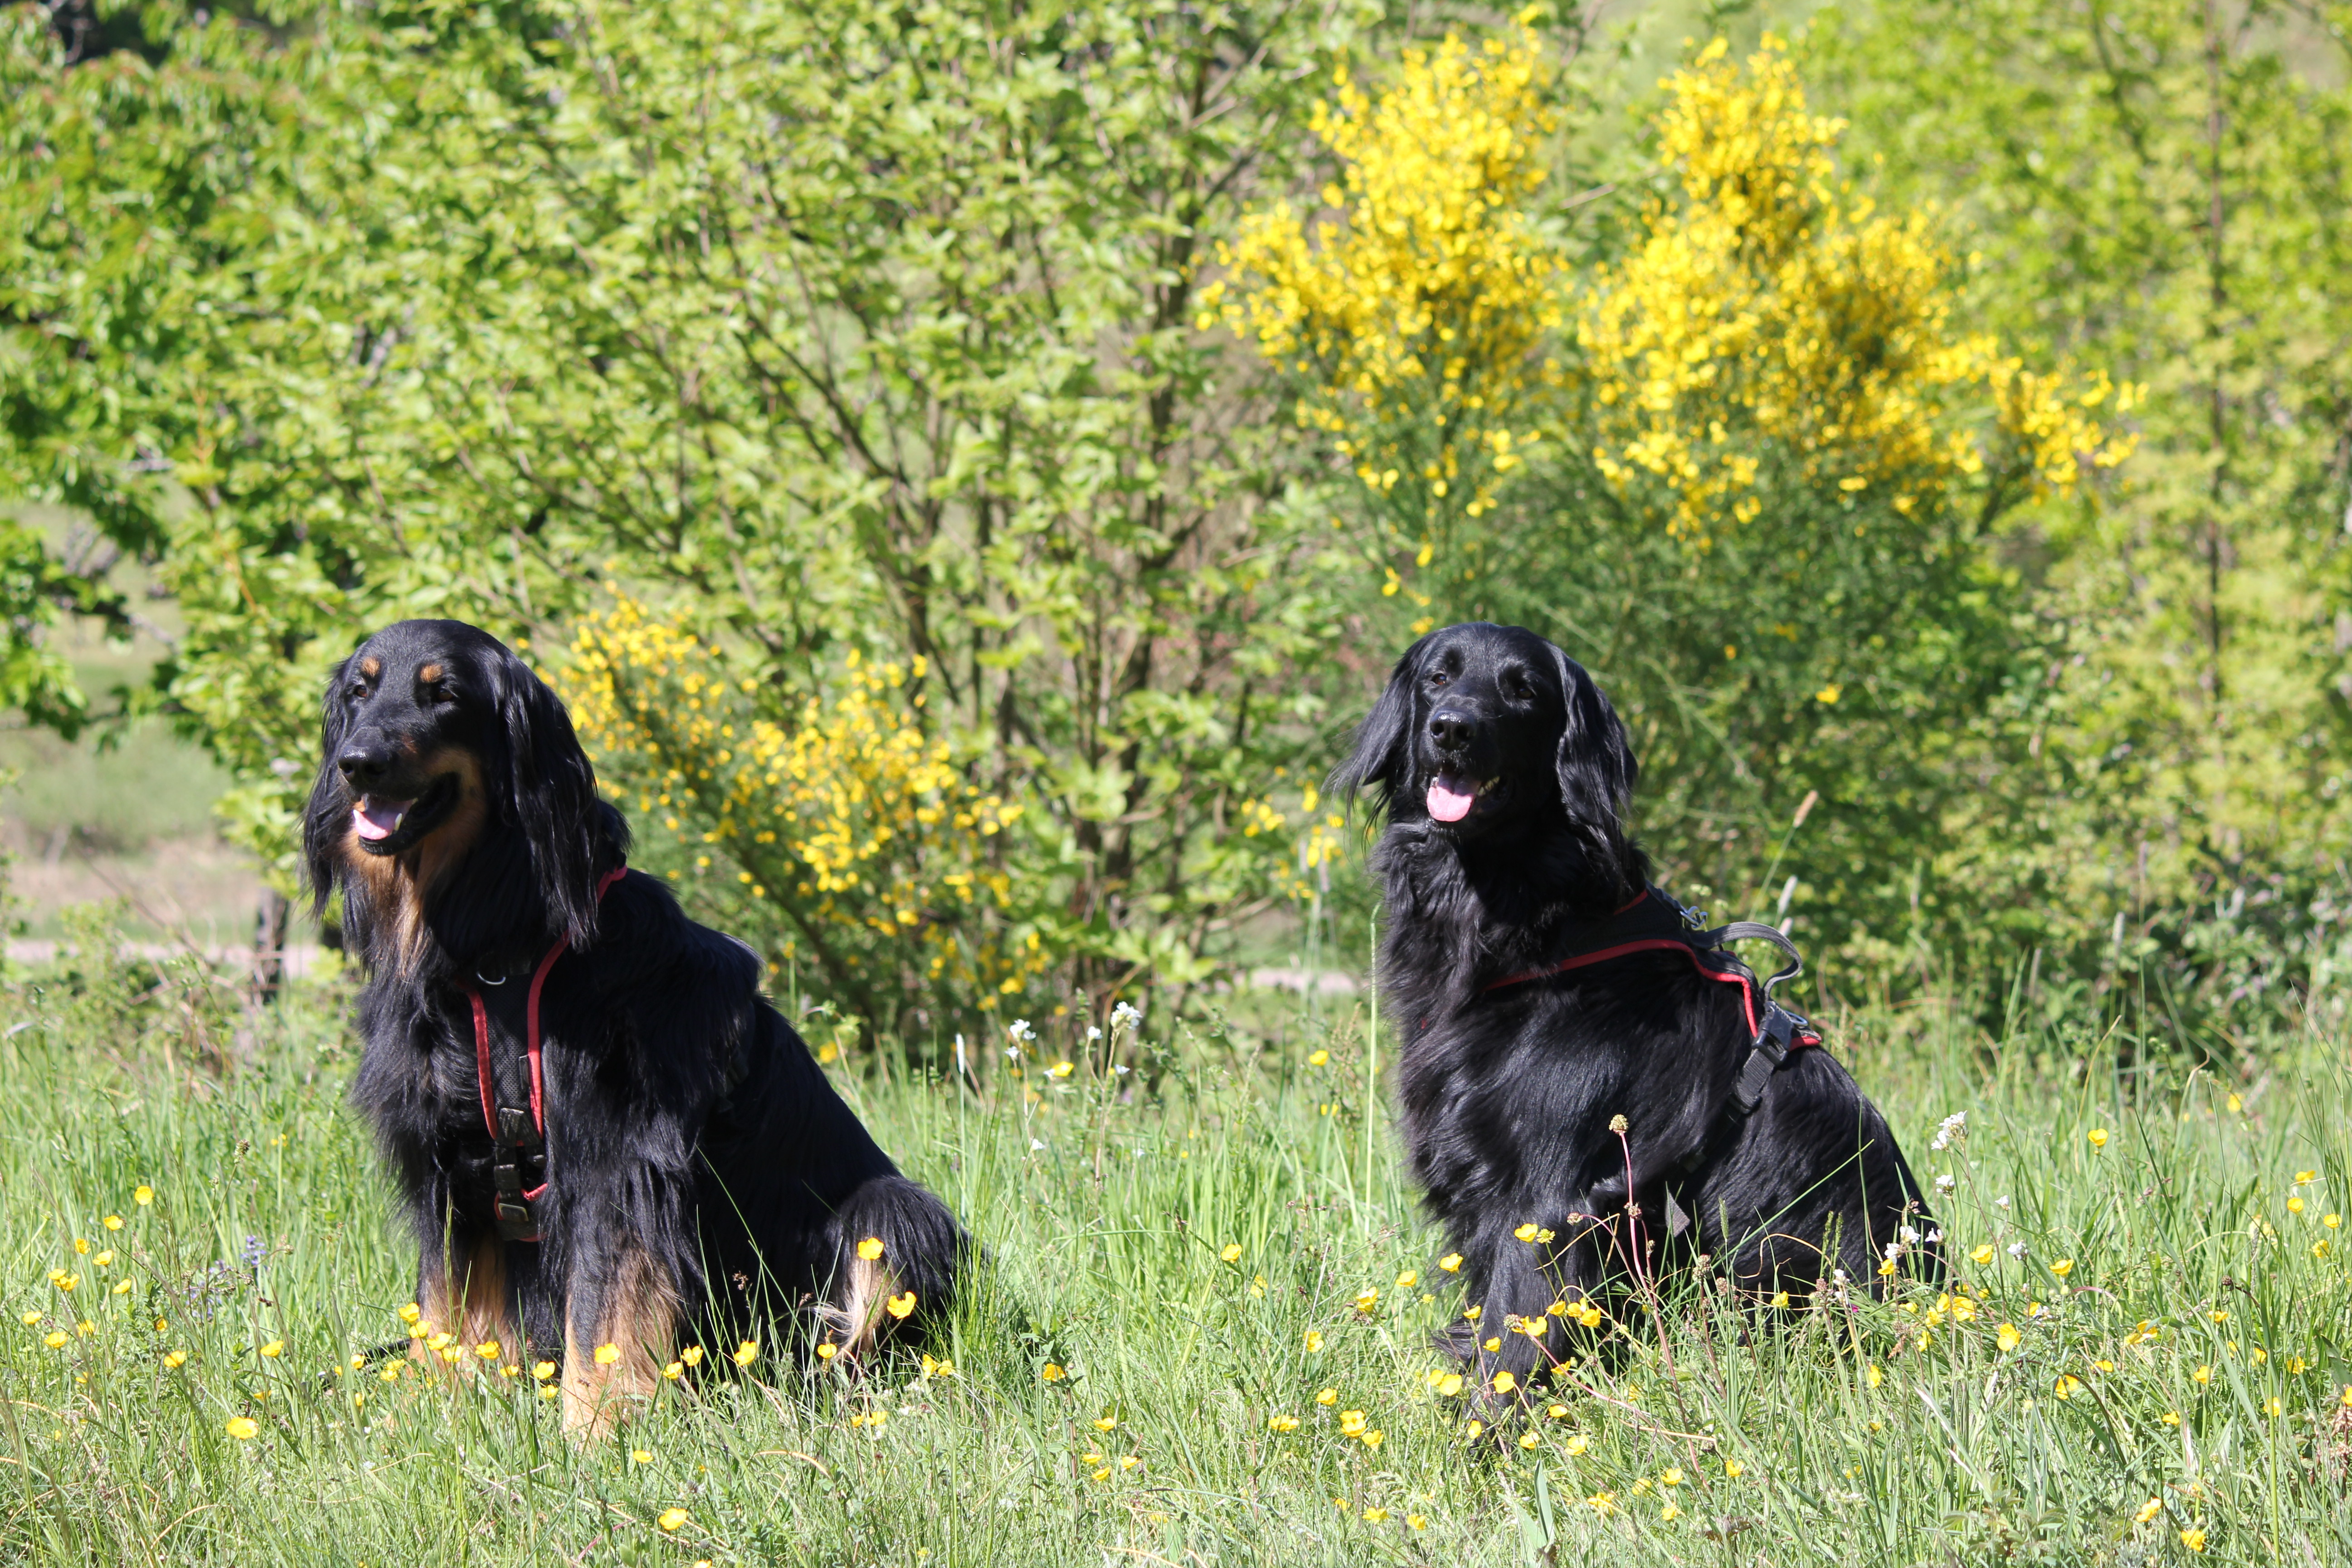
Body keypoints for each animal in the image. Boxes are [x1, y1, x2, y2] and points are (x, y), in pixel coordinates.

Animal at [304, 619, 964, 1436]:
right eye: (359, 692)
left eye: (445, 694)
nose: (356, 763)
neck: (501, 956)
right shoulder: (447, 1165)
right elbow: (441, 1306)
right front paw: (427, 1419)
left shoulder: (615, 1160)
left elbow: (603, 1315)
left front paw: (594, 1433)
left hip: (892, 1212)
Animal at [1331, 622, 1937, 1388]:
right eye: (1438, 678)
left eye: (1524, 691)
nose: (1453, 728)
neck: (1533, 921)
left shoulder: (1548, 1202)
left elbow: (1509, 1345)